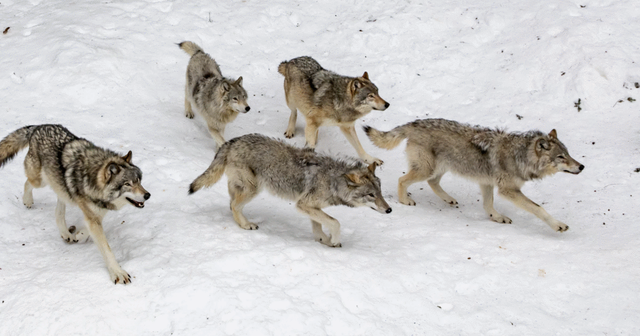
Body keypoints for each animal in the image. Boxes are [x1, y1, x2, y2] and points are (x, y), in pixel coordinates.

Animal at [0, 124, 151, 282]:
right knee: (27, 183)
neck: (93, 181)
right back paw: (27, 201)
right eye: (128, 184)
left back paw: (66, 233)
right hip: (40, 181)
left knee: (58, 210)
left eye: (139, 181)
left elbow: (88, 230)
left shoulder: (96, 214)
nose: (147, 195)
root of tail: (38, 127)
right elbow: (106, 249)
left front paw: (79, 235)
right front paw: (118, 273)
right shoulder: (93, 217)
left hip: (60, 188)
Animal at [188, 133, 392, 247]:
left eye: (380, 193)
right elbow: (335, 222)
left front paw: (324, 241)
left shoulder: (312, 207)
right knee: (233, 205)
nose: (389, 210)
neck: (333, 180)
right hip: (253, 189)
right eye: (371, 195)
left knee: (231, 203)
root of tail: (232, 141)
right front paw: (333, 240)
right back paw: (246, 225)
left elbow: (319, 225)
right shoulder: (303, 205)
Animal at [362, 119, 584, 232]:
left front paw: (496, 217)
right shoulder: (508, 190)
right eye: (561, 157)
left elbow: (488, 205)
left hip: (441, 168)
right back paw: (405, 200)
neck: (520, 156)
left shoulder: (487, 182)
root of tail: (414, 123)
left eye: (568, 154)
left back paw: (449, 199)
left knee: (432, 182)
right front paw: (558, 225)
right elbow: (539, 208)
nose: (581, 166)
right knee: (403, 180)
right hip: (427, 168)